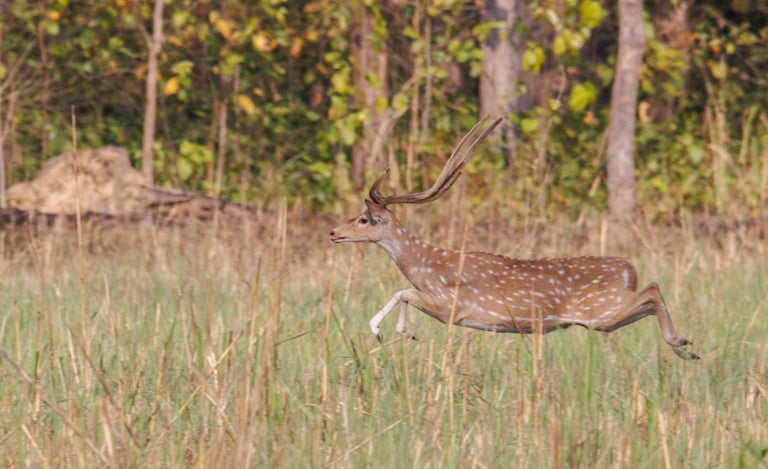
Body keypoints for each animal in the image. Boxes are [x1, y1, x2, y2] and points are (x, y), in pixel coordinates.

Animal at [329, 116, 700, 360]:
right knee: (647, 300)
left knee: (652, 289)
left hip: (601, 310)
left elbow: (403, 292)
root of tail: (628, 268)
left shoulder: (453, 306)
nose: (333, 232)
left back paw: (681, 344)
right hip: (604, 319)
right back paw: (684, 347)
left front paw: (383, 329)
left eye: (363, 219)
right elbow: (403, 293)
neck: (425, 266)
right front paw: (404, 332)